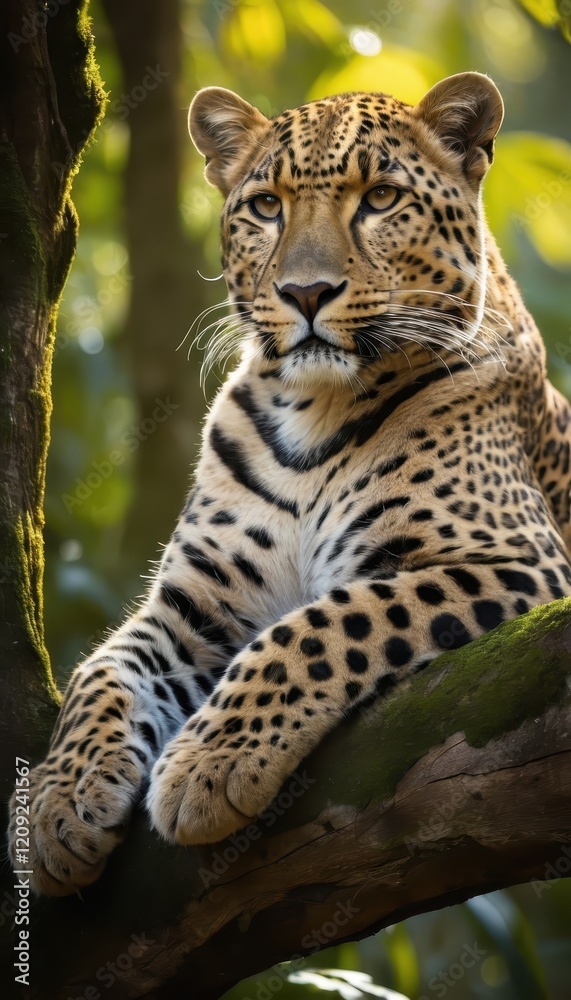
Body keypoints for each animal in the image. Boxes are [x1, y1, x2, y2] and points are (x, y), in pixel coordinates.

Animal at [9, 71, 571, 896]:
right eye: (267, 206)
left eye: (379, 198)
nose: (306, 293)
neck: (313, 408)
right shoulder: (195, 607)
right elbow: (101, 670)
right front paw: (58, 801)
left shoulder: (518, 562)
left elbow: (325, 622)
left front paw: (209, 762)